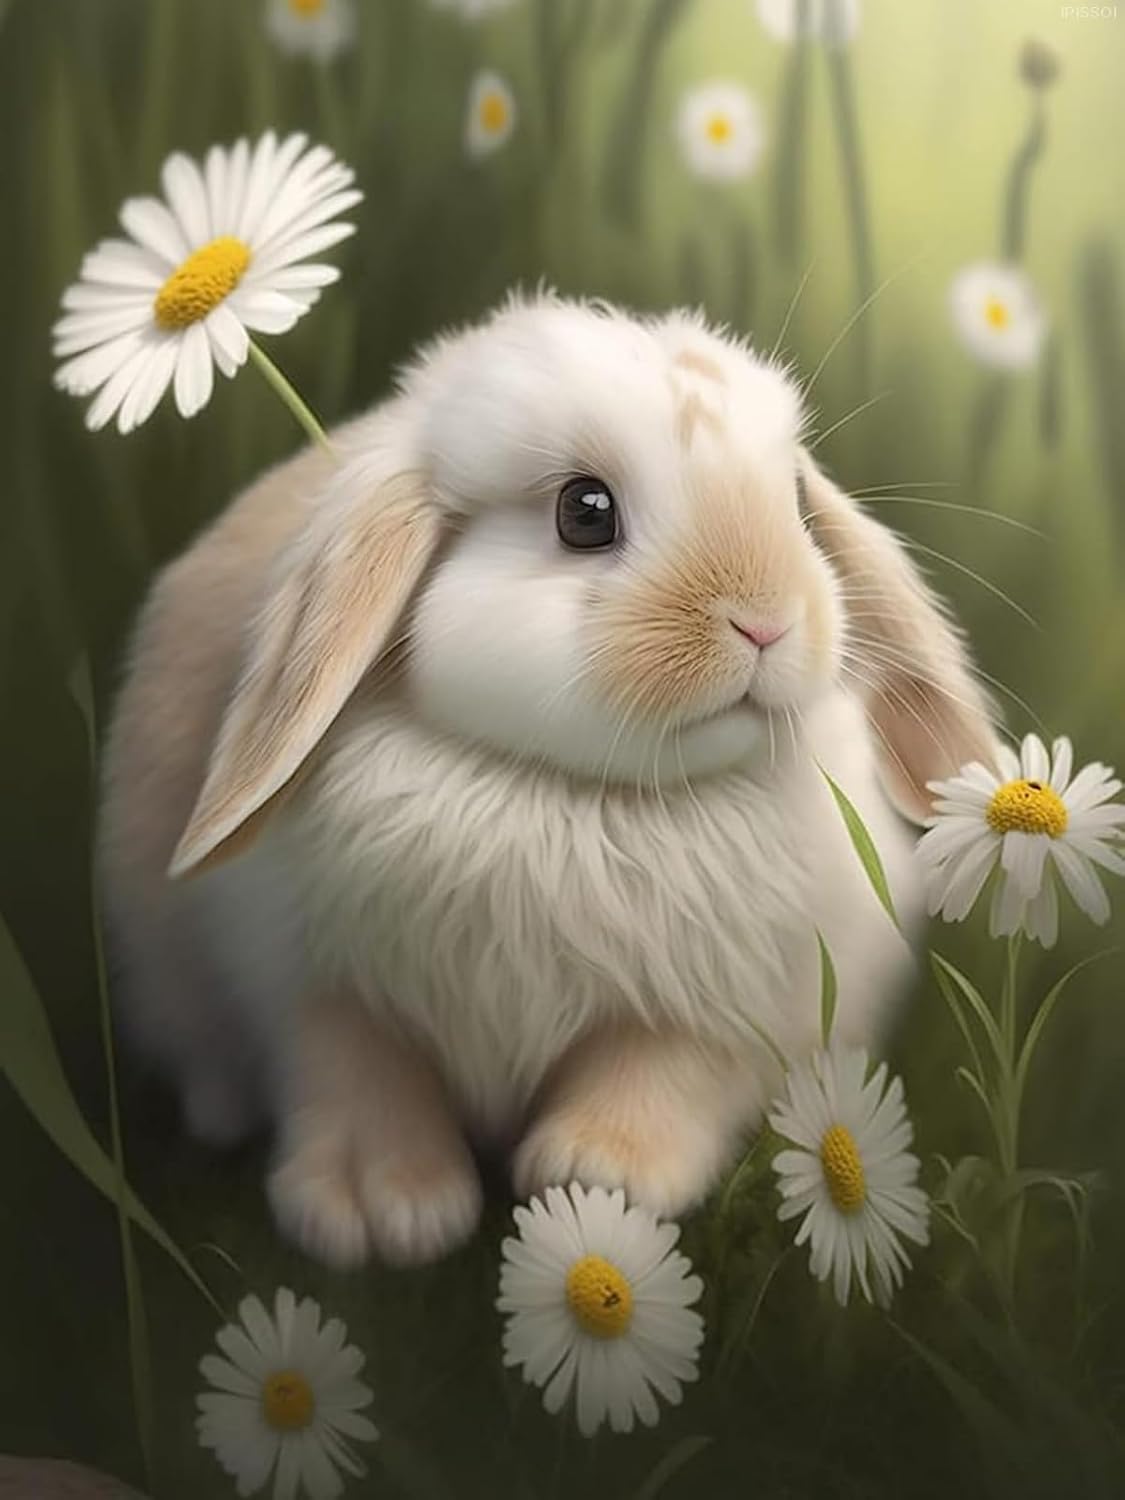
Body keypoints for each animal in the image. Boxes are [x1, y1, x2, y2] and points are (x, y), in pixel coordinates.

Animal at [97, 292, 998, 1269]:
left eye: (796, 504)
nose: (764, 620)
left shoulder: (718, 1005)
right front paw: (384, 1211)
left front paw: (602, 1176)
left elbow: (661, 1071)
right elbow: (358, 1075)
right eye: (584, 513)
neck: (577, 795)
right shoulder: (316, 983)